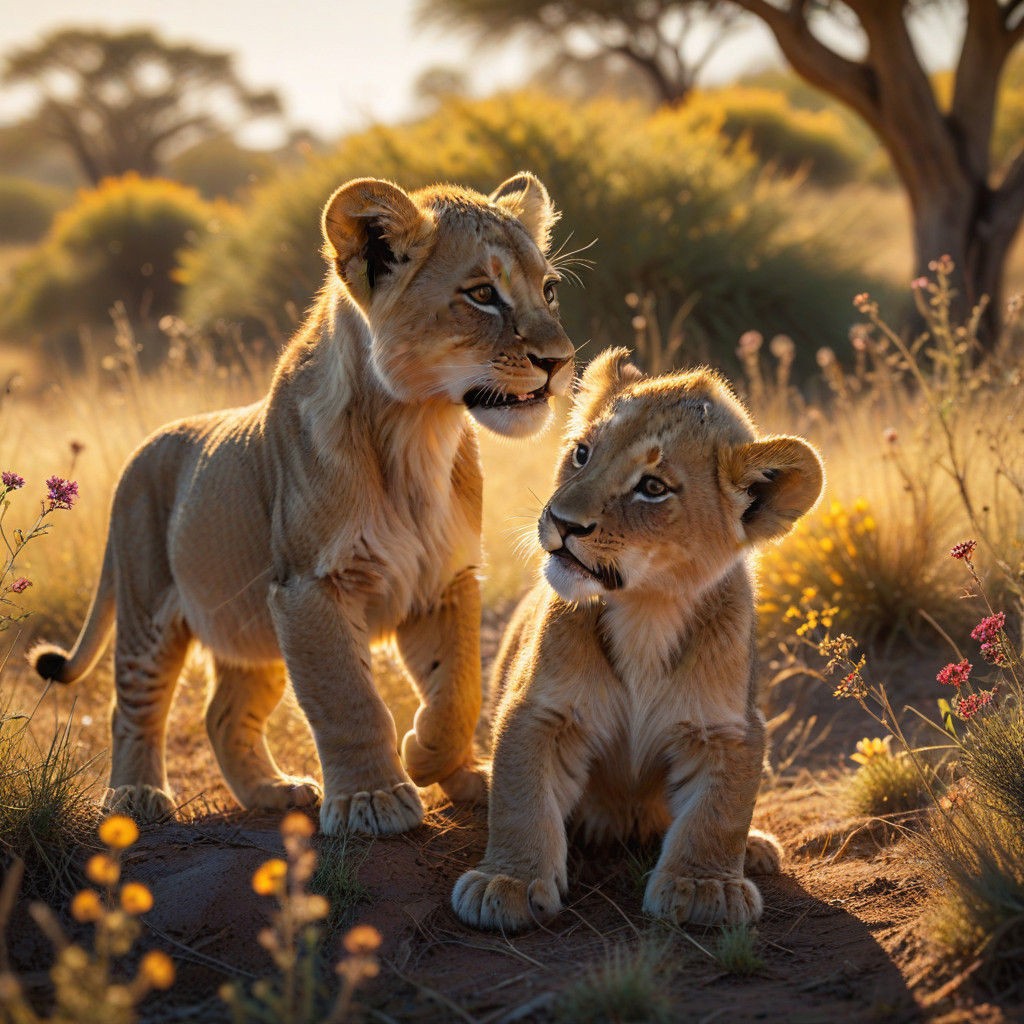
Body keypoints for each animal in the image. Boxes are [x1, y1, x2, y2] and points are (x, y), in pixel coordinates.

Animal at [30, 173, 574, 837]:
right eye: (481, 294)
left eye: (548, 289)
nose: (560, 361)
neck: (417, 434)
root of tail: (142, 450)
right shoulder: (309, 586)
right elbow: (348, 700)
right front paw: (374, 799)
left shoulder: (446, 580)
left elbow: (460, 689)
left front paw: (437, 759)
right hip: (147, 601)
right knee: (132, 702)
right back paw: (136, 796)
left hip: (250, 625)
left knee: (223, 714)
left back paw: (274, 791)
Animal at [452, 348, 823, 930]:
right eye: (582, 453)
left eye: (653, 487)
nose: (562, 521)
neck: (648, 610)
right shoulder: (541, 710)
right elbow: (521, 799)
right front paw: (507, 882)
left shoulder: (729, 728)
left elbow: (718, 814)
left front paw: (704, 888)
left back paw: (757, 848)